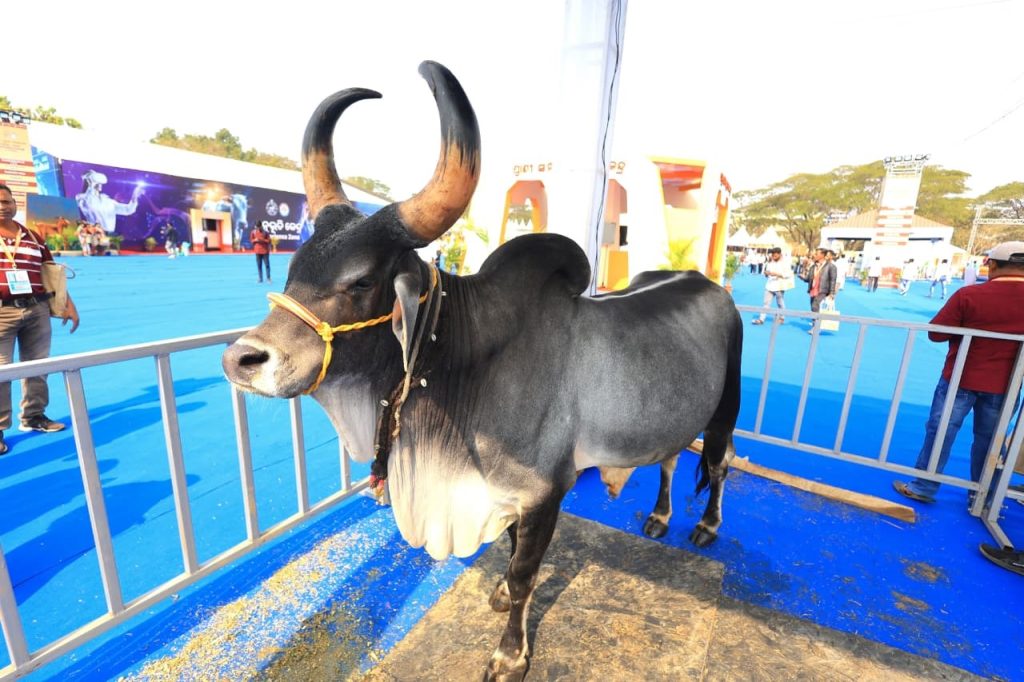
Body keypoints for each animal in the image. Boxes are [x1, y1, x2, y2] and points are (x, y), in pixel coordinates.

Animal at [222, 61, 742, 681]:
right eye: (293, 266)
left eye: (361, 281)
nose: (242, 360)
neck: (466, 369)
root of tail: (706, 282)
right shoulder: (506, 495)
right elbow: (511, 557)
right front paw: (496, 596)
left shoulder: (545, 492)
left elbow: (523, 574)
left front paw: (510, 653)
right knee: (668, 459)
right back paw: (660, 517)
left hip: (727, 407)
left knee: (718, 464)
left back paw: (707, 526)